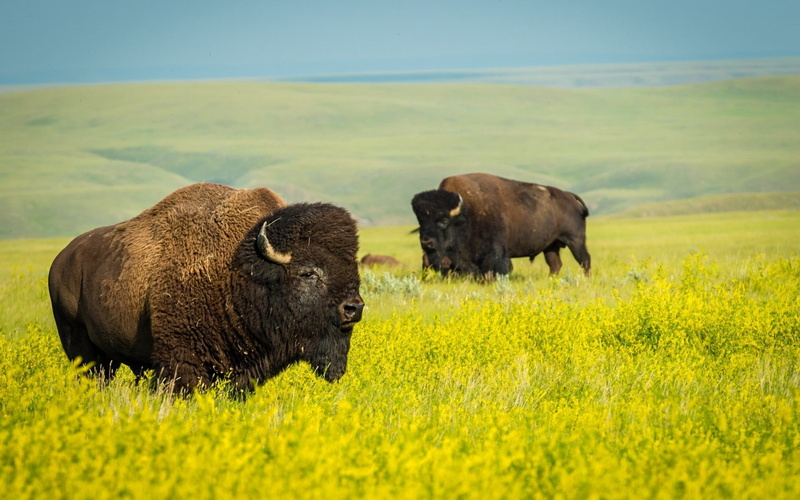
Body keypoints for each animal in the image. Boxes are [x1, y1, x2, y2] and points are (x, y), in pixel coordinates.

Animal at [48, 182, 364, 393]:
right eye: (308, 272)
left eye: (353, 268)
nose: (354, 308)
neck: (239, 271)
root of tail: (61, 261)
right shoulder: (182, 362)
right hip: (81, 349)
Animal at [411, 173, 591, 278]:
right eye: (421, 222)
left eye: (444, 221)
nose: (426, 242)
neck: (467, 212)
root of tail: (569, 196)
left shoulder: (495, 252)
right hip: (551, 246)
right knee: (555, 264)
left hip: (575, 240)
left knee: (584, 260)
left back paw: (586, 279)